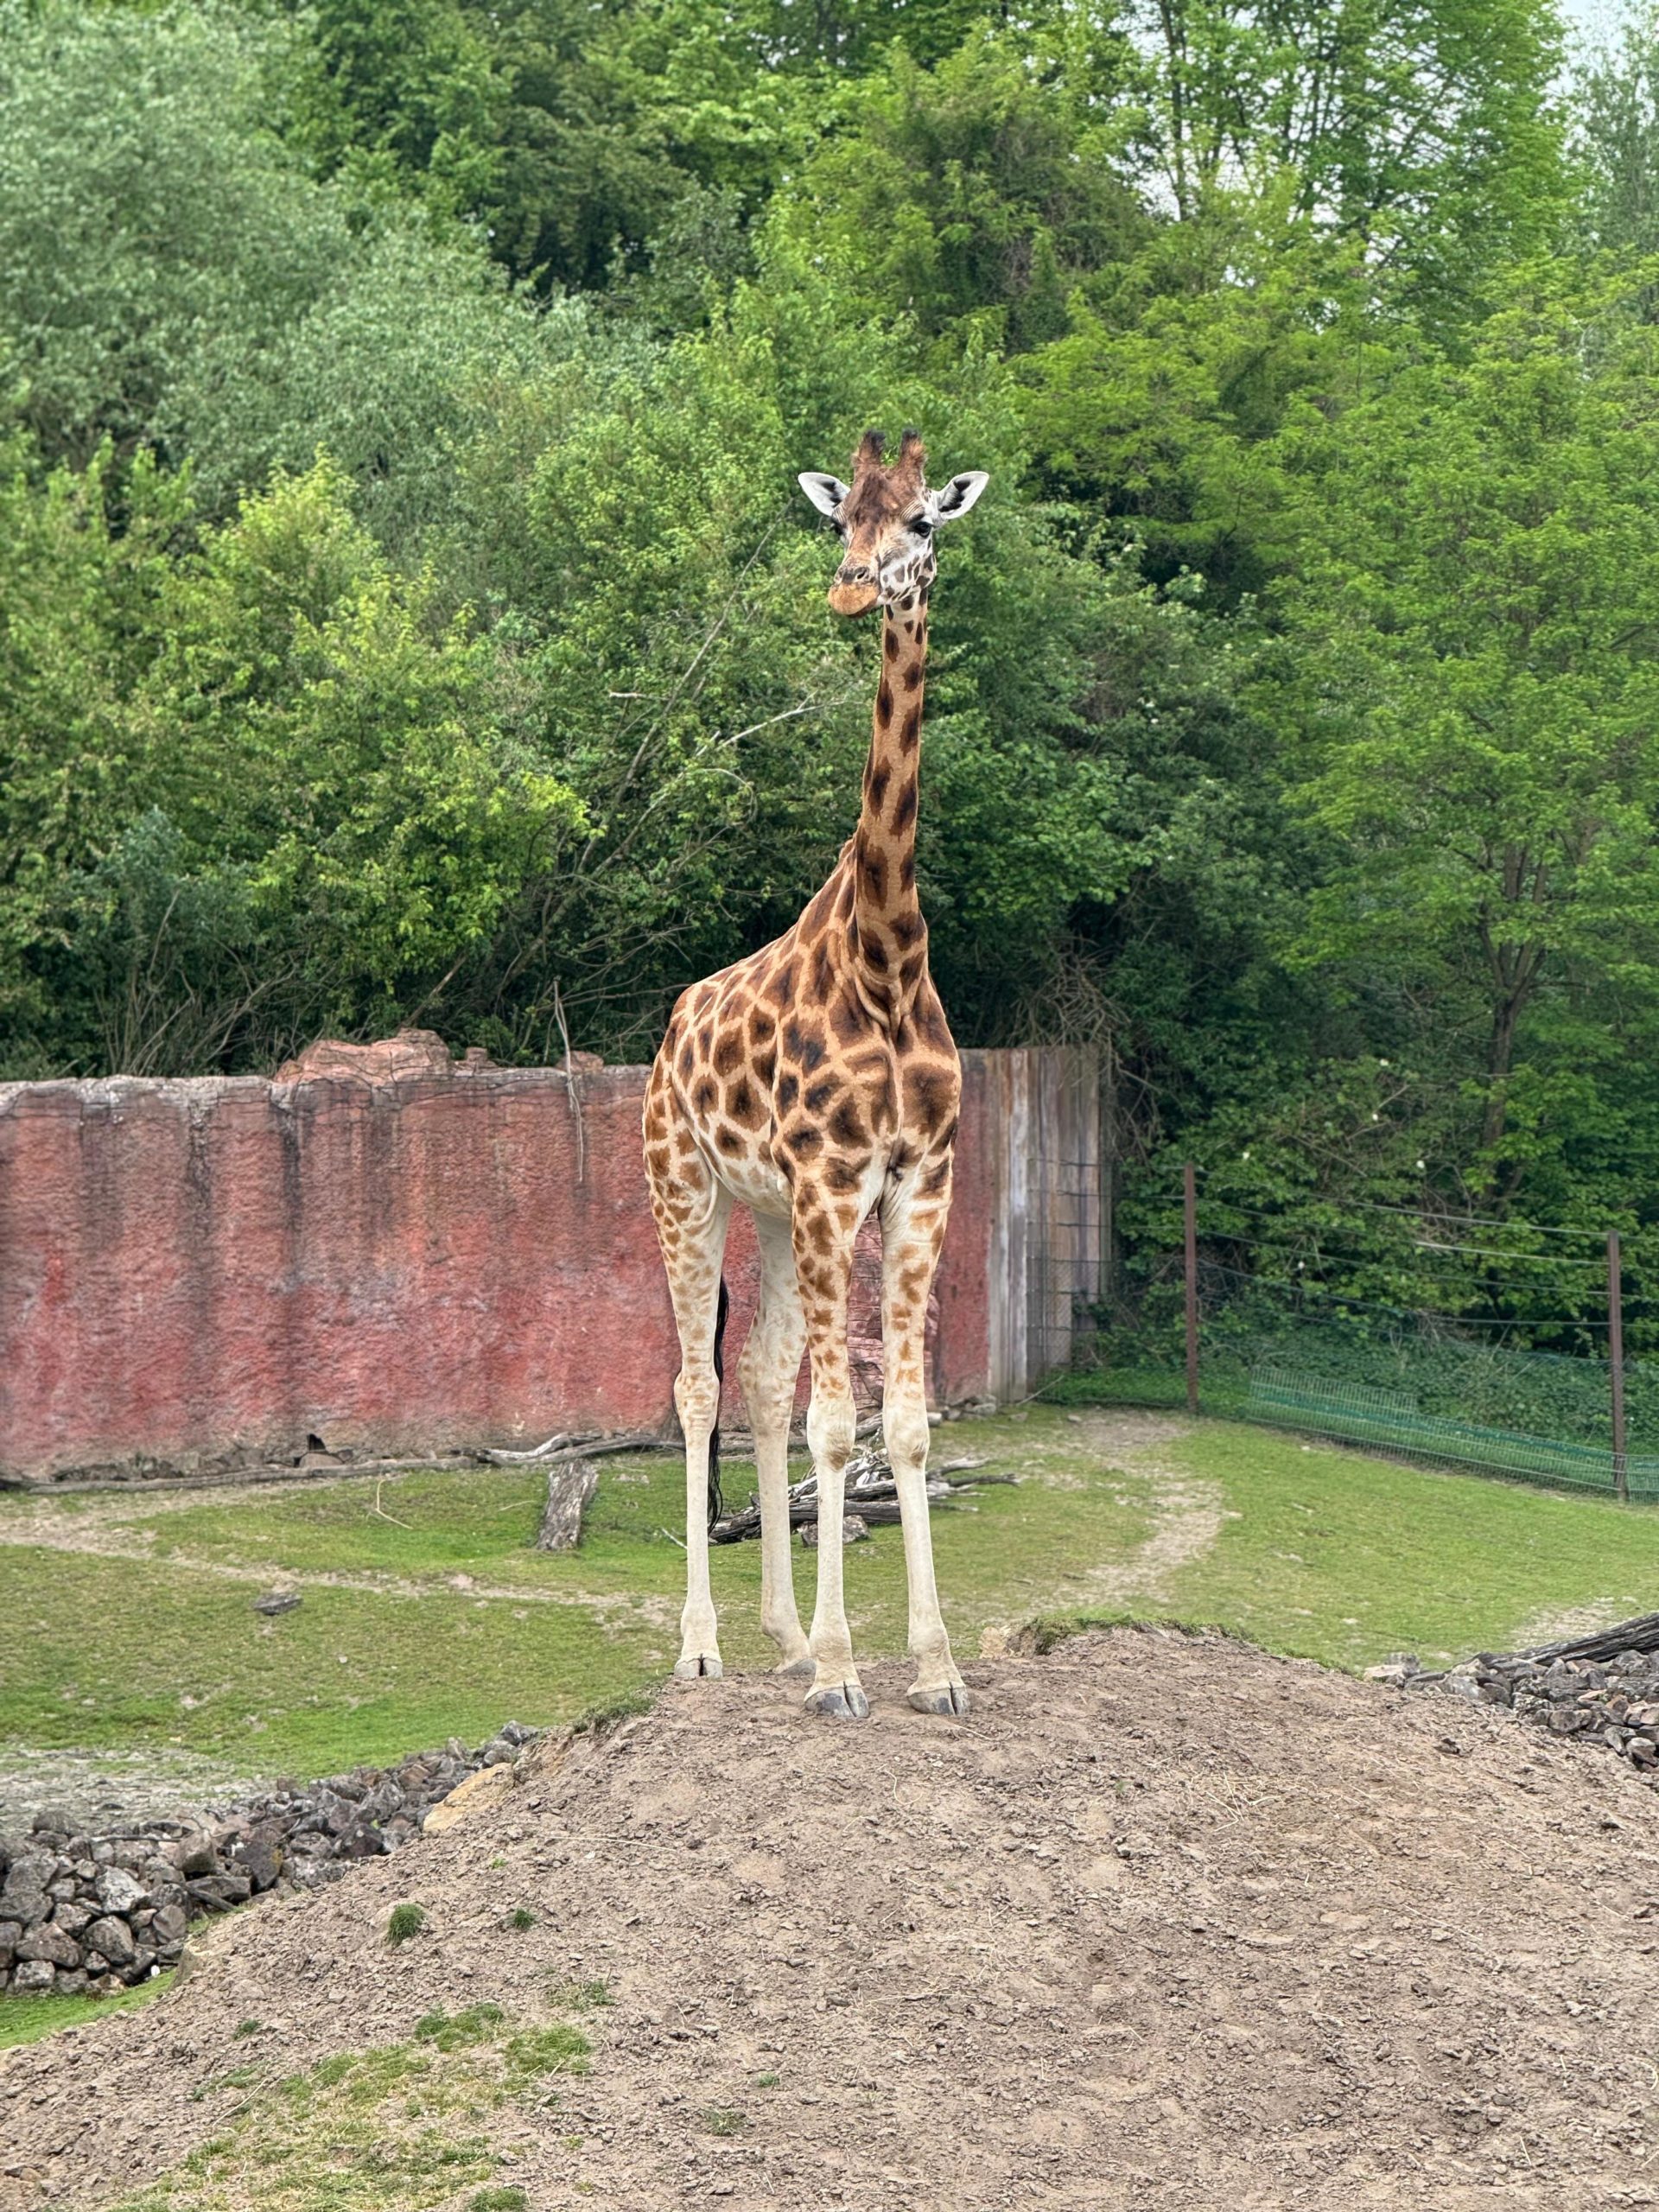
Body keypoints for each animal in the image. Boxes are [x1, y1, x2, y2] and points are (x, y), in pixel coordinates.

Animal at [642, 427, 989, 1720]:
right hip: (684, 1186)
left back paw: (780, 1638)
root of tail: (667, 1033)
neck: (888, 953)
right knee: (696, 1386)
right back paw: (701, 1650)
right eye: (843, 521)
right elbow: (844, 1424)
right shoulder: (840, 1183)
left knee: (757, 1376)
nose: (851, 588)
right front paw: (845, 1674)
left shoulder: (917, 1183)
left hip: (775, 1214)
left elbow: (908, 1426)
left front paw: (933, 1667)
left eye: (923, 522)